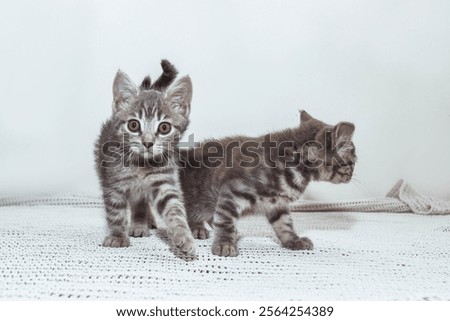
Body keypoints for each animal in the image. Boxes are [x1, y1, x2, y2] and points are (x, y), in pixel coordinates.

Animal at [95, 60, 195, 255]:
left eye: (164, 127)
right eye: (133, 125)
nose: (148, 142)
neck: (141, 165)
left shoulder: (163, 180)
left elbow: (174, 208)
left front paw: (183, 235)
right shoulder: (114, 182)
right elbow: (115, 211)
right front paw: (117, 236)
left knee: (141, 203)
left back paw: (141, 223)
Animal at [179, 111, 356, 256]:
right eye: (353, 162)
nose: (352, 176)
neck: (295, 164)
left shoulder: (277, 204)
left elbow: (284, 225)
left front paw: (294, 241)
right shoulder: (233, 191)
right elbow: (225, 220)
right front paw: (225, 244)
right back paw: (197, 228)